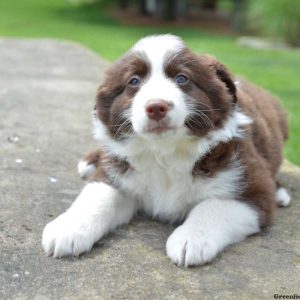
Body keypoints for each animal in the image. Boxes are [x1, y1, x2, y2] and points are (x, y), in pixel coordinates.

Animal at [42, 35, 290, 268]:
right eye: (134, 81)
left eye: (182, 78)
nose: (156, 107)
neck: (165, 151)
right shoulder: (118, 174)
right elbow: (97, 195)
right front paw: (67, 228)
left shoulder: (252, 190)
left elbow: (213, 206)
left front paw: (191, 239)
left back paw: (280, 193)